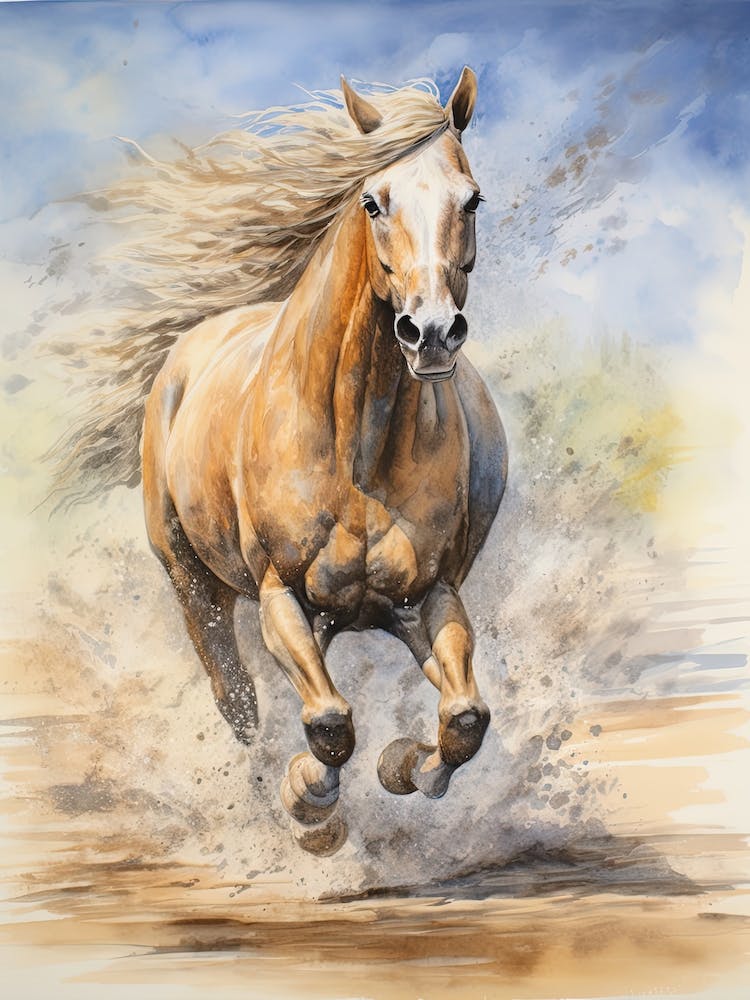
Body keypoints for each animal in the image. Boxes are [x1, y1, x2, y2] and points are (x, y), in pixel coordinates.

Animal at [57, 68, 507, 855]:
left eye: (471, 198)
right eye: (372, 201)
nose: (430, 333)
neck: (356, 450)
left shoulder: (428, 596)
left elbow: (464, 719)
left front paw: (405, 767)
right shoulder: (281, 596)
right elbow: (328, 724)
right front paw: (310, 807)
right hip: (192, 581)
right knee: (236, 697)